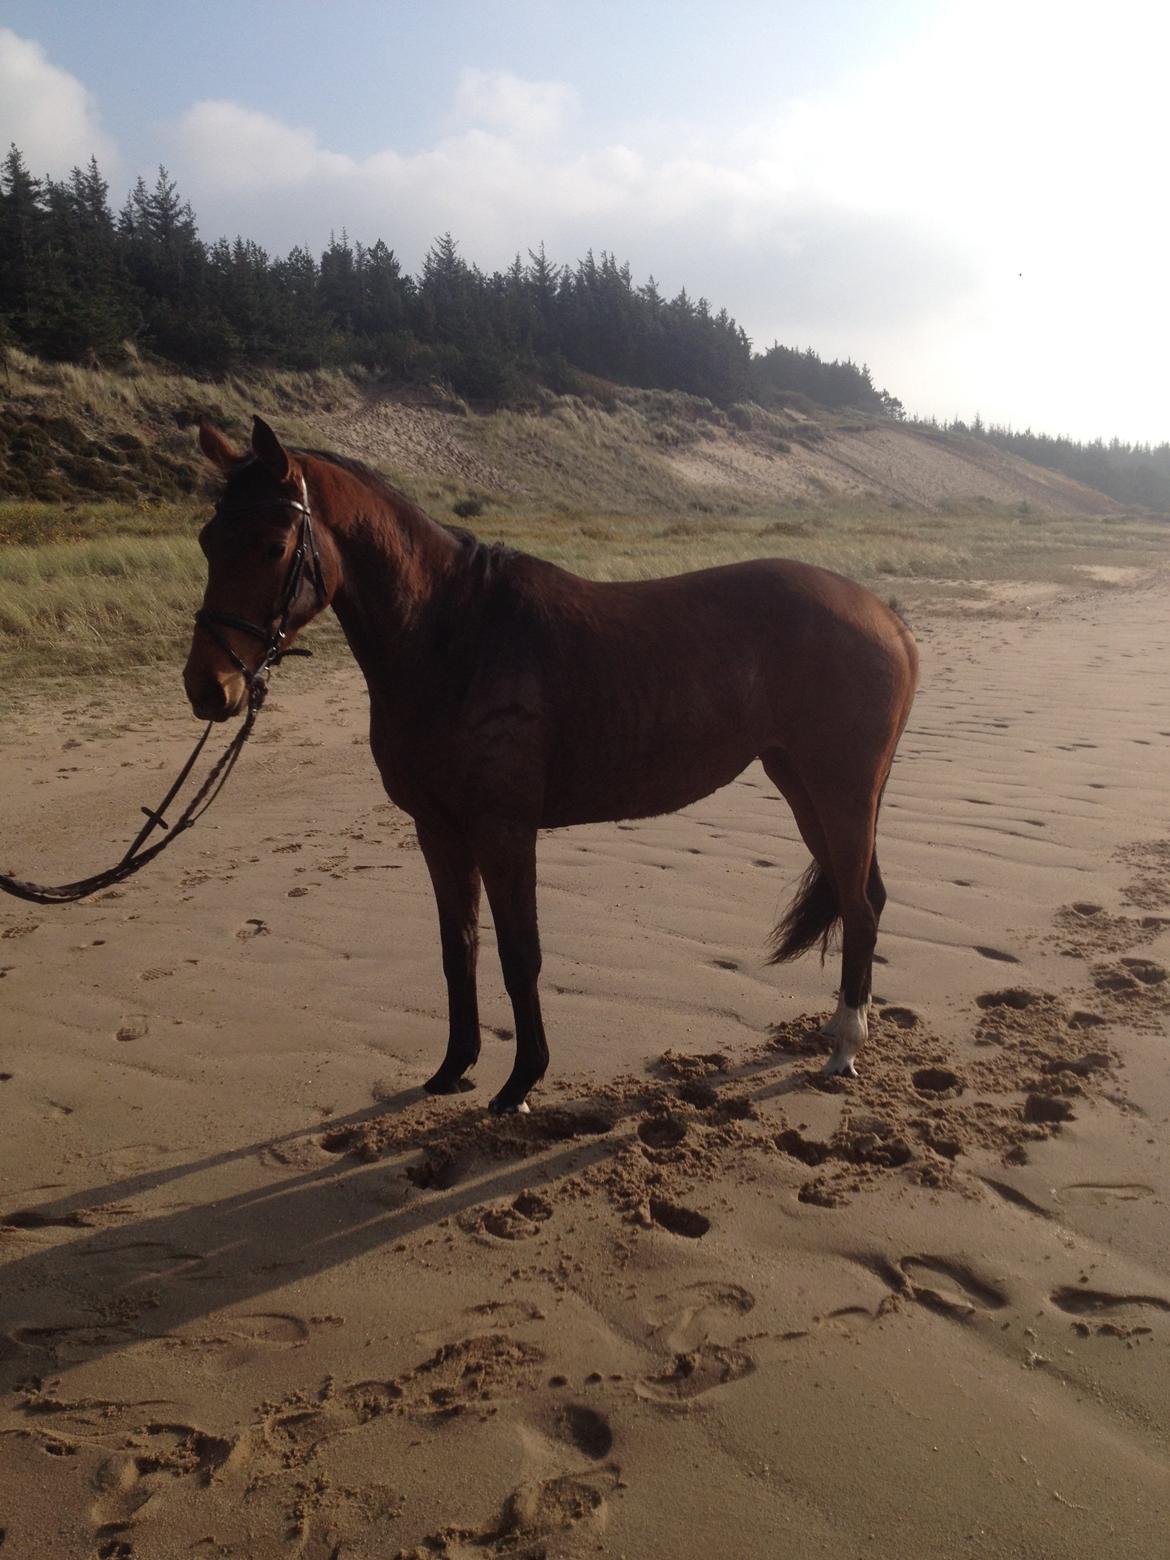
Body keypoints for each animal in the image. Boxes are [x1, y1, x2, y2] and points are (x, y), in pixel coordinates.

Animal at [183, 414, 923, 1110]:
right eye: (208, 541)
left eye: (274, 546)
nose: (207, 688)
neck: (454, 636)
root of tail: (883, 614)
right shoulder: (438, 830)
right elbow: (459, 948)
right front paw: (454, 1068)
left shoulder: (504, 830)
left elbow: (520, 955)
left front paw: (520, 1082)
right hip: (802, 784)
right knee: (861, 896)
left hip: (840, 790)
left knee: (860, 908)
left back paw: (844, 1048)